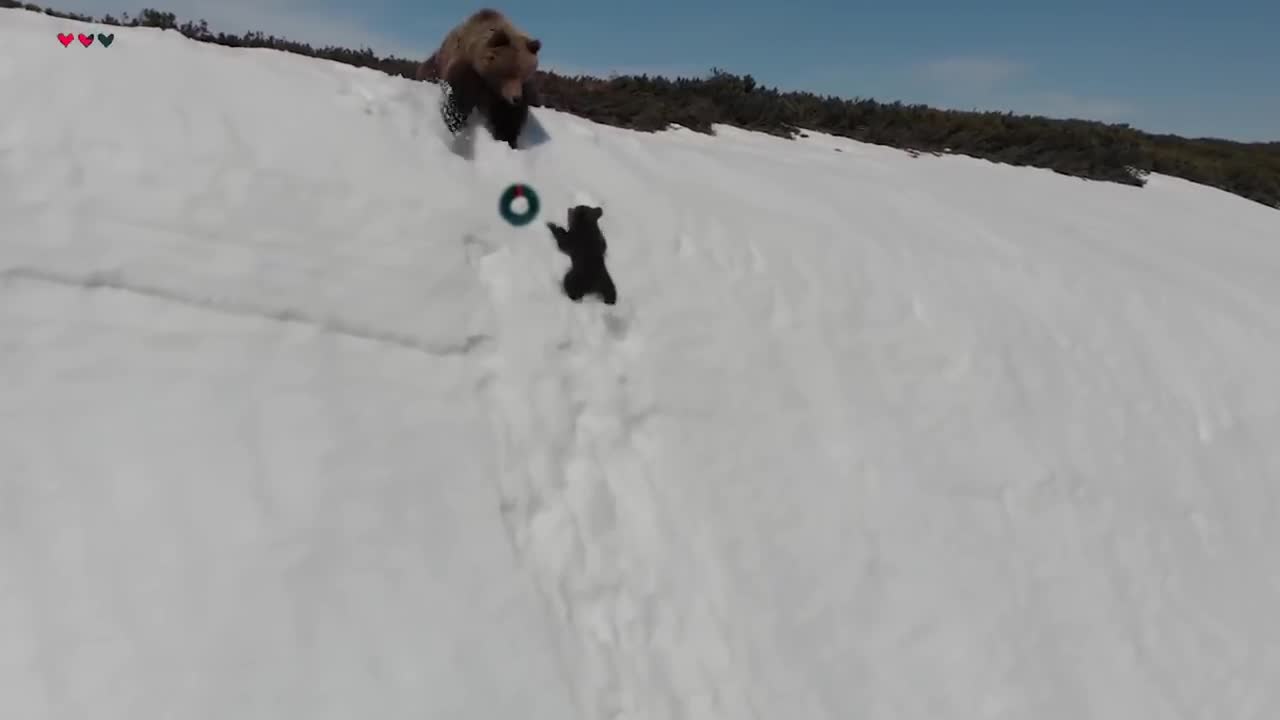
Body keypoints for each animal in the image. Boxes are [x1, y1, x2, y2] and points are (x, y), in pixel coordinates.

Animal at [417, 8, 541, 148]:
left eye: (524, 74)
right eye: (507, 73)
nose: (516, 98)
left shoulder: (509, 93)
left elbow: (507, 117)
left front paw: (508, 139)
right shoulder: (469, 71)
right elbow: (458, 99)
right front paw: (455, 126)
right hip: (438, 62)